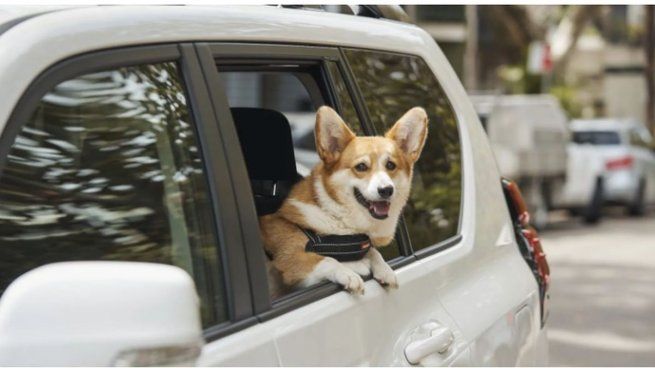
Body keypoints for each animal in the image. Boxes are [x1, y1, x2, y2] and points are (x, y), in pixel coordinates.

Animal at [262, 105, 430, 294]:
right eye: (361, 167)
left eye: (390, 165)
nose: (386, 190)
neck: (339, 220)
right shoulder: (291, 259)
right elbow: (327, 260)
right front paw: (348, 274)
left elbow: (373, 251)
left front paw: (384, 269)